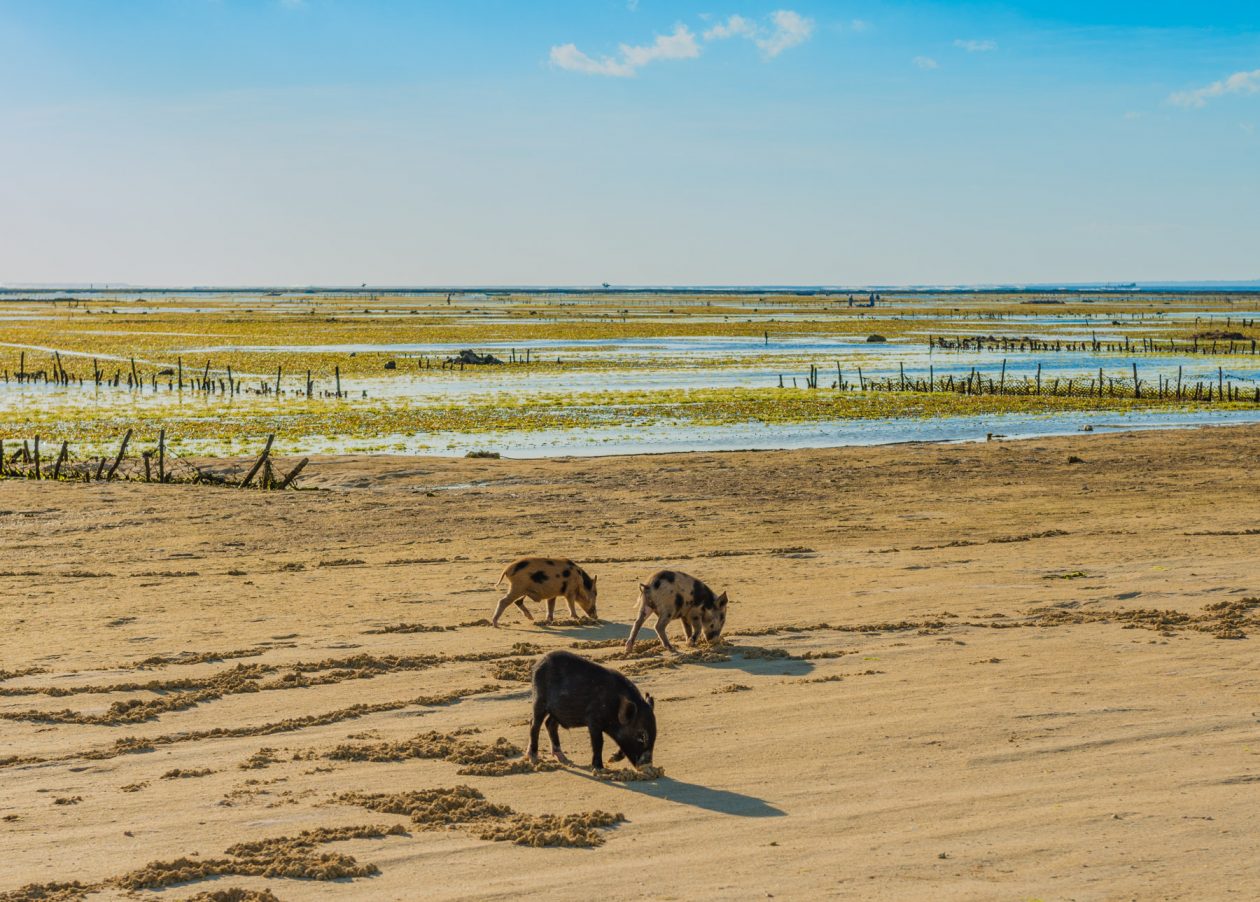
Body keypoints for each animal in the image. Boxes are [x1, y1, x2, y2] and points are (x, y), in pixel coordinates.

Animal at [526, 650, 655, 765]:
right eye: (642, 735)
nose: (647, 765)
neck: (614, 706)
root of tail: (536, 665)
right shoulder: (593, 720)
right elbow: (598, 743)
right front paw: (599, 768)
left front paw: (611, 760)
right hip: (539, 700)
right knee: (534, 724)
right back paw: (534, 759)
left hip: (557, 711)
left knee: (550, 724)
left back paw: (564, 759)